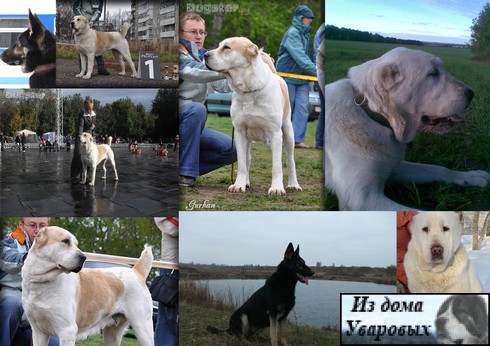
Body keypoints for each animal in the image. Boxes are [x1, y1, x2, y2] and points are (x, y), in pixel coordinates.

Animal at [21, 227, 153, 346]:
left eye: (75, 244)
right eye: (65, 241)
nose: (83, 257)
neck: (42, 282)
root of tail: (136, 271)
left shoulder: (67, 331)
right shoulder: (38, 332)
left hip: (142, 327)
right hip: (112, 334)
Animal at [204, 37, 302, 196]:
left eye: (227, 48)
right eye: (219, 46)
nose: (205, 55)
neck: (249, 90)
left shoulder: (275, 133)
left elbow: (277, 166)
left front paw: (276, 188)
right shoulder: (239, 132)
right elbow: (242, 164)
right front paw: (239, 185)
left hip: (288, 131)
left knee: (290, 159)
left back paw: (293, 184)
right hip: (248, 139)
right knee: (247, 159)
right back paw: (246, 182)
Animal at [324, 47, 488, 209]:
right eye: (433, 73)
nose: (471, 93)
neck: (371, 112)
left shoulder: (395, 168)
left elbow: (439, 168)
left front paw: (472, 176)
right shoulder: (363, 200)